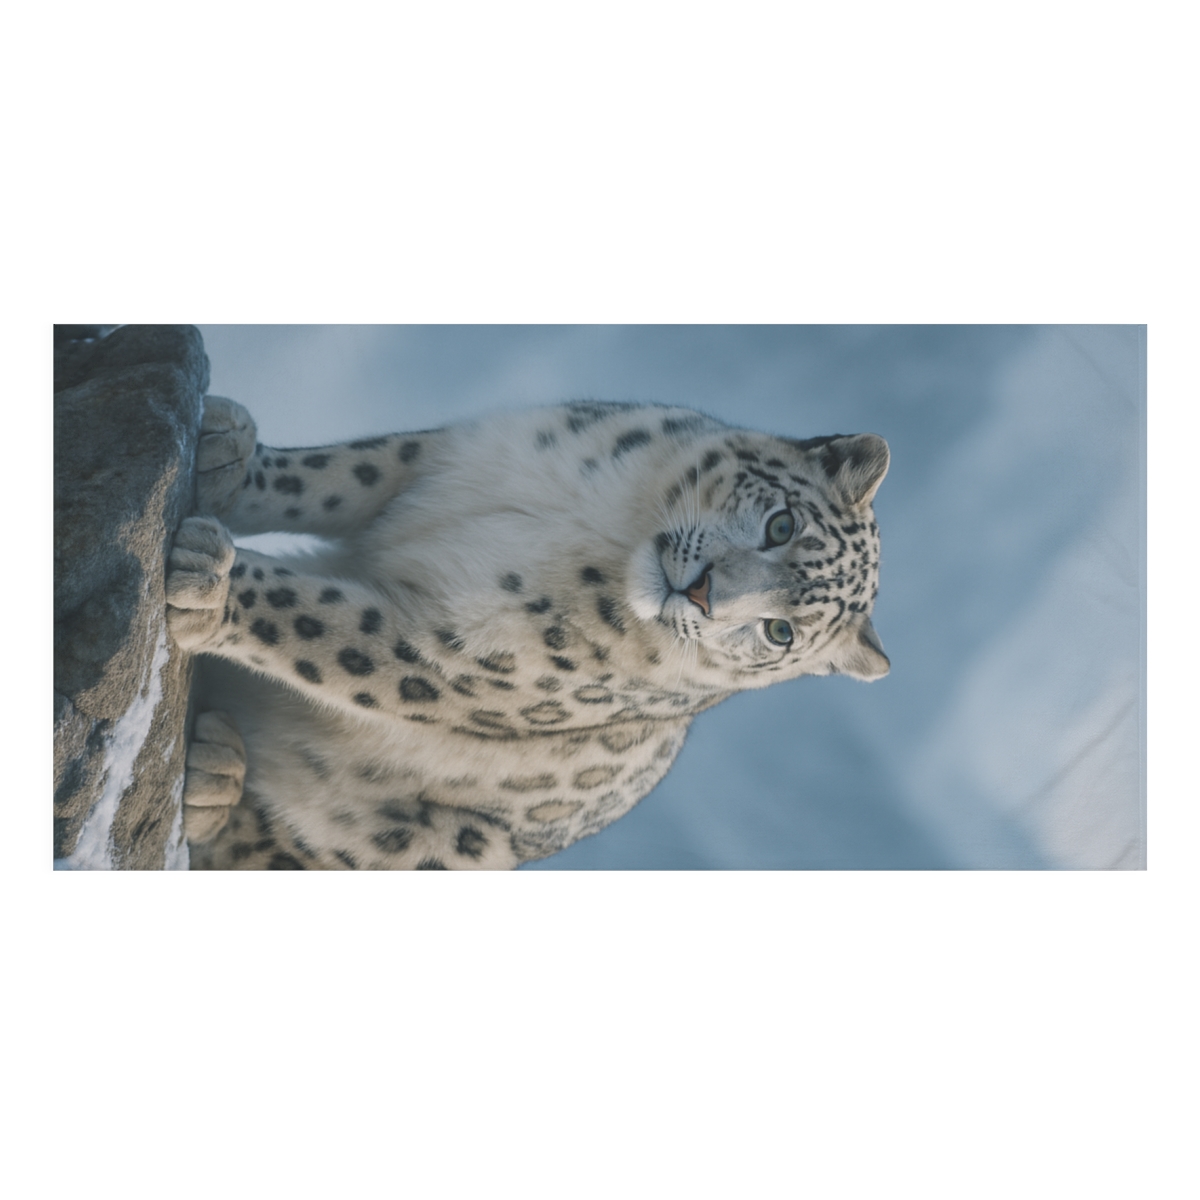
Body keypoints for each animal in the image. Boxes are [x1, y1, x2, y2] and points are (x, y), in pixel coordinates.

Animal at [168, 395, 890, 870]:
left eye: (779, 633)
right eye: (781, 524)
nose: (704, 592)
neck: (612, 523)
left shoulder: (445, 655)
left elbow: (320, 622)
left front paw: (211, 581)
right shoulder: (445, 458)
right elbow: (334, 475)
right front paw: (227, 456)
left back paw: (213, 774)